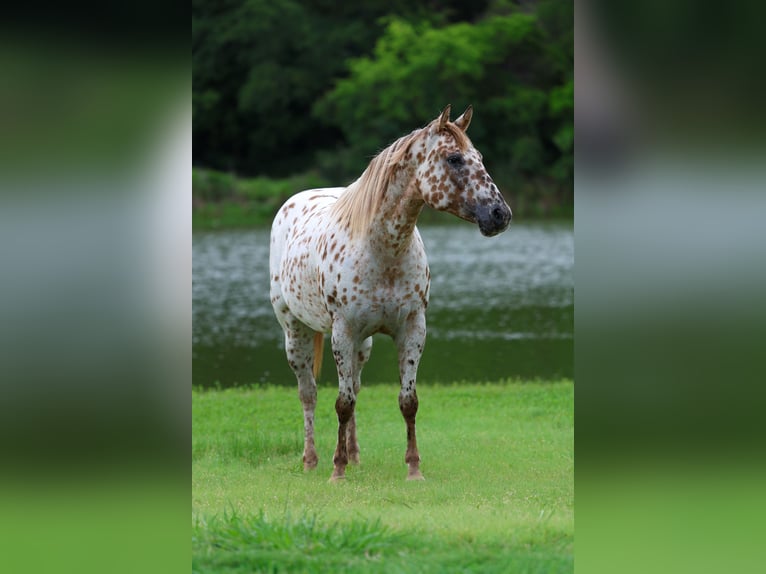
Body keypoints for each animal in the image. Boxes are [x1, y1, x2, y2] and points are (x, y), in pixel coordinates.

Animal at [269, 105, 511, 481]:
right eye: (454, 159)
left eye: (479, 158)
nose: (500, 214)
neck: (381, 251)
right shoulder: (343, 332)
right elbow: (341, 403)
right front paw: (337, 472)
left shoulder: (411, 329)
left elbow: (406, 401)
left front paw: (413, 469)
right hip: (295, 333)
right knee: (308, 393)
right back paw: (311, 459)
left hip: (363, 345)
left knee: (353, 386)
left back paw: (354, 455)